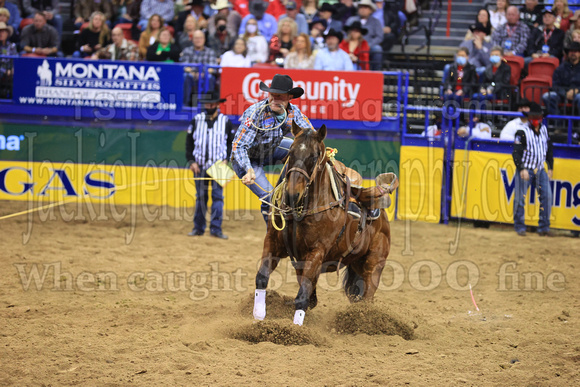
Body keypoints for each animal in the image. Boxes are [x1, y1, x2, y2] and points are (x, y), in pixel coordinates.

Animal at [251, 123, 396, 326]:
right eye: (290, 153)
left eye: (313, 157)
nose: (291, 195)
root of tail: (382, 217)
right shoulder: (274, 242)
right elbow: (262, 277)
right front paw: (258, 316)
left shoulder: (317, 252)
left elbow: (303, 295)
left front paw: (295, 328)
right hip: (353, 264)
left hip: (374, 263)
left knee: (367, 297)